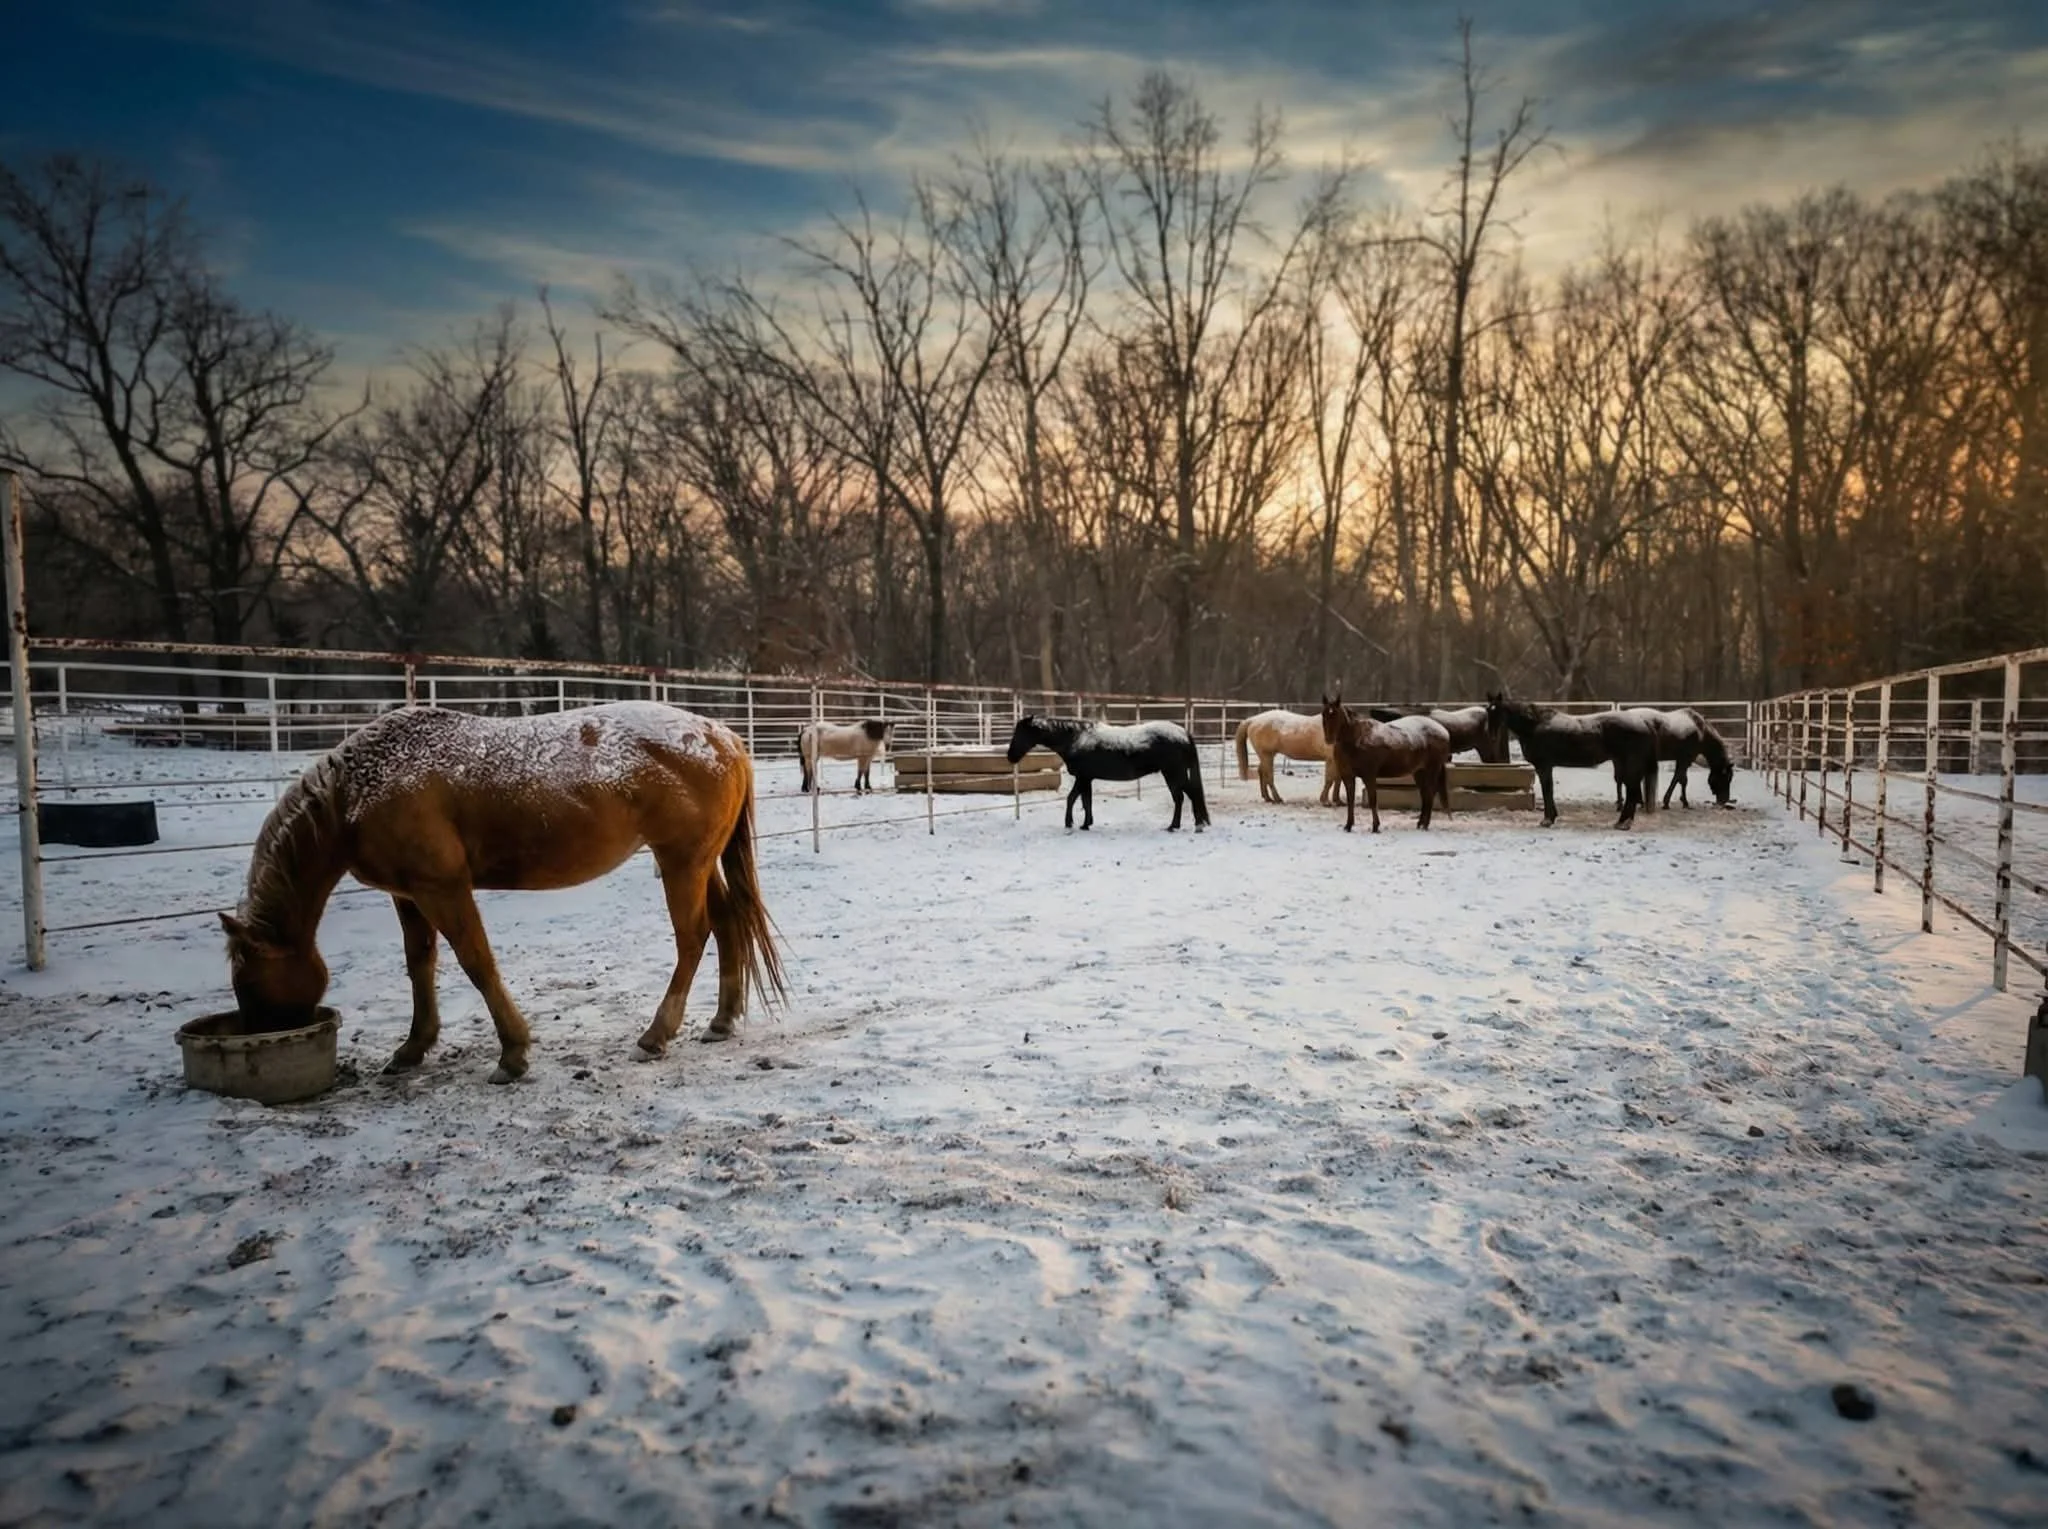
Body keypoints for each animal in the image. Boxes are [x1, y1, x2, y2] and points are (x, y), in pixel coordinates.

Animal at [219, 702, 786, 1084]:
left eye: (249, 984)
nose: (258, 1036)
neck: (359, 791)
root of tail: (722, 737)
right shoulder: (408, 894)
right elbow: (419, 964)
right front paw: (412, 1048)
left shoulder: (443, 888)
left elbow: (477, 962)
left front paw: (512, 1054)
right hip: (699, 863)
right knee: (728, 923)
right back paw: (721, 1021)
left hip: (681, 863)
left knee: (694, 936)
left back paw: (656, 1035)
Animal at [1006, 714, 1210, 832]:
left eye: (1021, 733)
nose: (1010, 756)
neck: (1076, 738)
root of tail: (1183, 732)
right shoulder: (1086, 778)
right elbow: (1085, 800)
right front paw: (1086, 824)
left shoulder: (1082, 777)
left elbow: (1072, 798)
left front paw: (1070, 823)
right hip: (1174, 774)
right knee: (1183, 797)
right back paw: (1182, 825)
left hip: (1174, 774)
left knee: (1186, 796)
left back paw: (1187, 826)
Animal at [1319, 693, 1453, 833]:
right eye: (1323, 714)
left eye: (1336, 714)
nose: (1329, 739)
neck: (1357, 740)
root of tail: (1443, 731)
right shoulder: (1348, 776)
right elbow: (1351, 801)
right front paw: (1348, 825)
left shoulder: (1369, 776)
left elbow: (1373, 800)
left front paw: (1375, 826)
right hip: (1419, 772)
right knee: (1425, 795)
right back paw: (1420, 823)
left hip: (1432, 769)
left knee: (1430, 793)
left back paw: (1425, 825)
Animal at [1484, 691, 1657, 829]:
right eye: (1488, 710)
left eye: (1498, 711)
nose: (1491, 736)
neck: (1535, 725)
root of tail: (1643, 722)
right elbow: (1548, 790)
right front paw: (1551, 817)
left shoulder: (1544, 766)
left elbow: (1547, 790)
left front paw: (1547, 820)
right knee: (1632, 791)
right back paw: (1622, 822)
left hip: (1630, 764)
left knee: (1632, 791)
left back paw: (1624, 823)